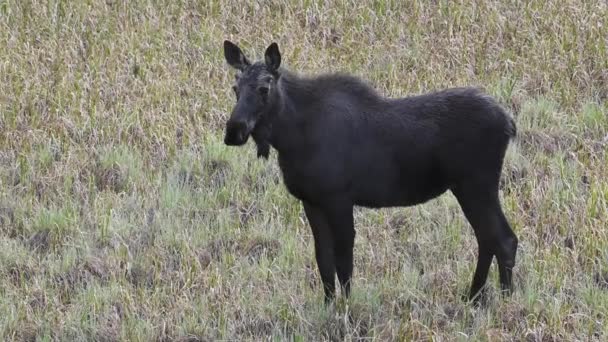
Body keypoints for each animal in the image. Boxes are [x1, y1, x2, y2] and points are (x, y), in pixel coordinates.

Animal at [222, 40, 516, 304]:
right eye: (235, 87)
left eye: (264, 88)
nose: (234, 131)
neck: (291, 138)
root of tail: (509, 123)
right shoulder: (311, 201)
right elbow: (323, 260)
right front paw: (328, 305)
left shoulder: (338, 199)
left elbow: (344, 261)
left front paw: (346, 309)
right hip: (469, 187)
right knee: (488, 238)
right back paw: (475, 297)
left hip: (476, 185)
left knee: (503, 239)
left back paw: (504, 301)